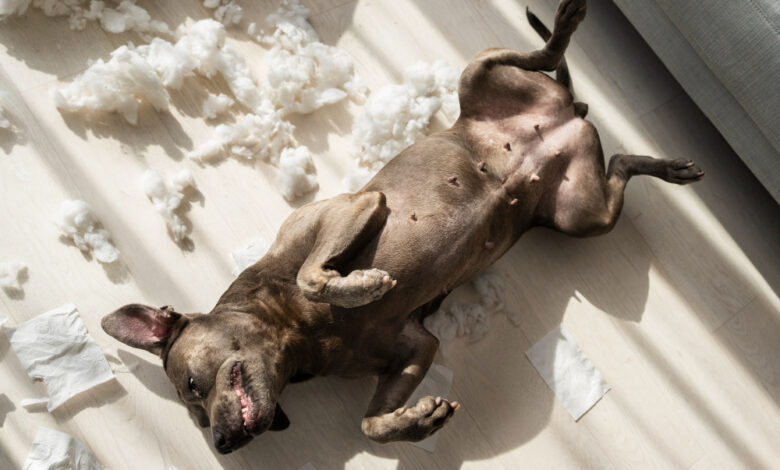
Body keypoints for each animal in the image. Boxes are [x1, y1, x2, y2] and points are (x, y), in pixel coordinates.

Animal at [100, 0, 704, 456]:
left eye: (192, 388)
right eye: (198, 417)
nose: (223, 443)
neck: (295, 335)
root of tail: (567, 115)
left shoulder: (357, 204)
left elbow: (313, 275)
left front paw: (359, 284)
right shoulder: (416, 345)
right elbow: (369, 423)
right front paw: (417, 421)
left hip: (480, 75)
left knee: (545, 53)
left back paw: (567, 22)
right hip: (581, 214)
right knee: (620, 162)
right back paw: (669, 167)